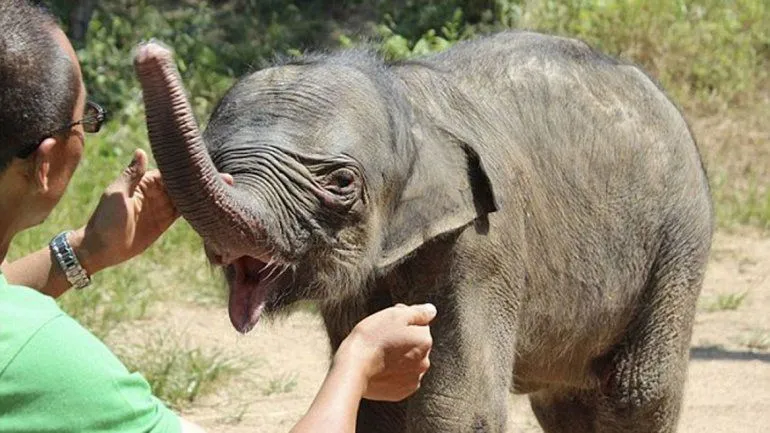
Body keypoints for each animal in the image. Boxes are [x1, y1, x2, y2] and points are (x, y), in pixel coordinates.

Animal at [134, 28, 712, 430]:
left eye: (341, 181)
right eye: (219, 164)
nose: (148, 52)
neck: (405, 102)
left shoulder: (485, 242)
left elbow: (458, 408)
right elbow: (377, 405)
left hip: (679, 240)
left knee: (639, 393)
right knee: (565, 403)